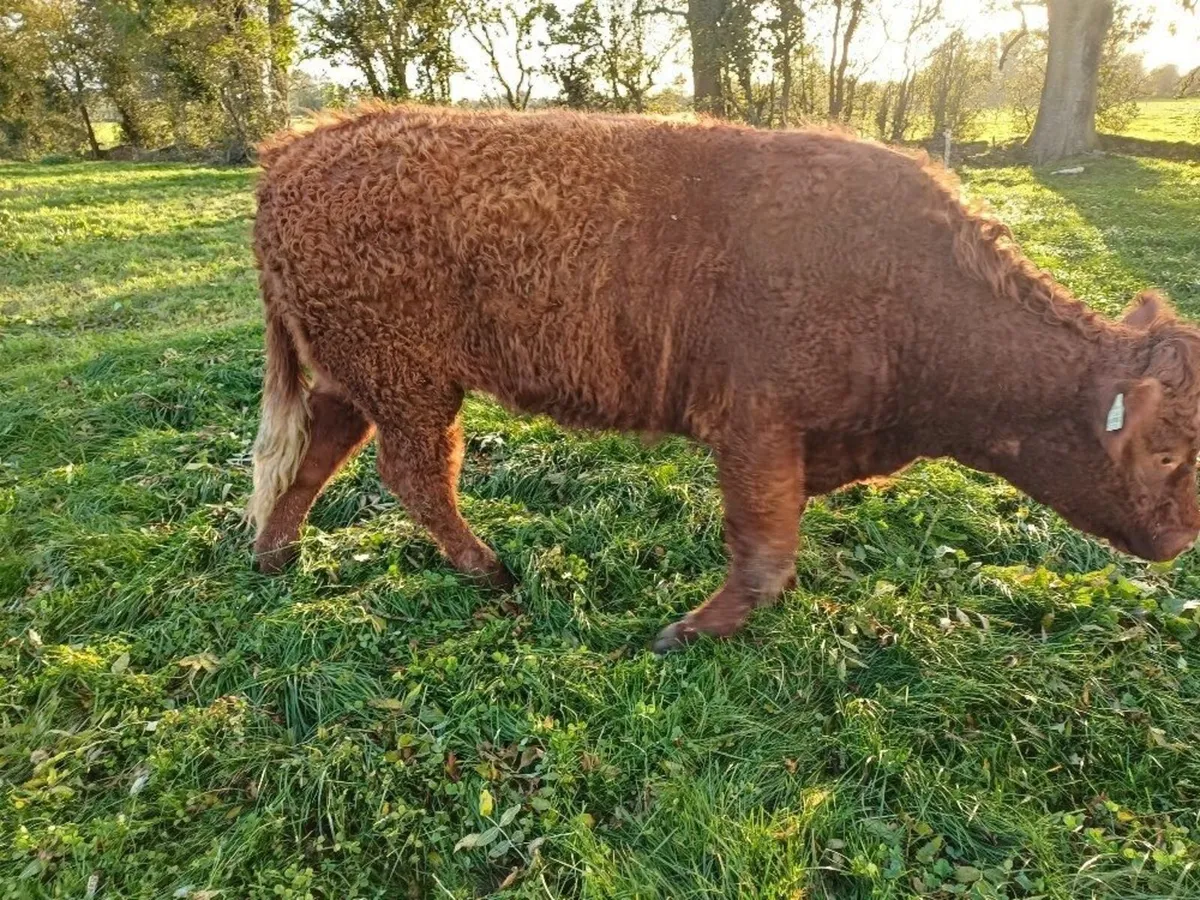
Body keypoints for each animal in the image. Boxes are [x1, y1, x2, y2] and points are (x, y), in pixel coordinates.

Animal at [246, 105, 1200, 652]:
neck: (909, 284)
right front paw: (690, 631)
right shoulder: (756, 428)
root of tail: (293, 151)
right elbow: (764, 549)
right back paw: (489, 570)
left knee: (318, 450)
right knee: (413, 471)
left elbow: (772, 543)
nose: (1181, 538)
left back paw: (275, 553)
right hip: (410, 382)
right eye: (1162, 455)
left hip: (360, 377)